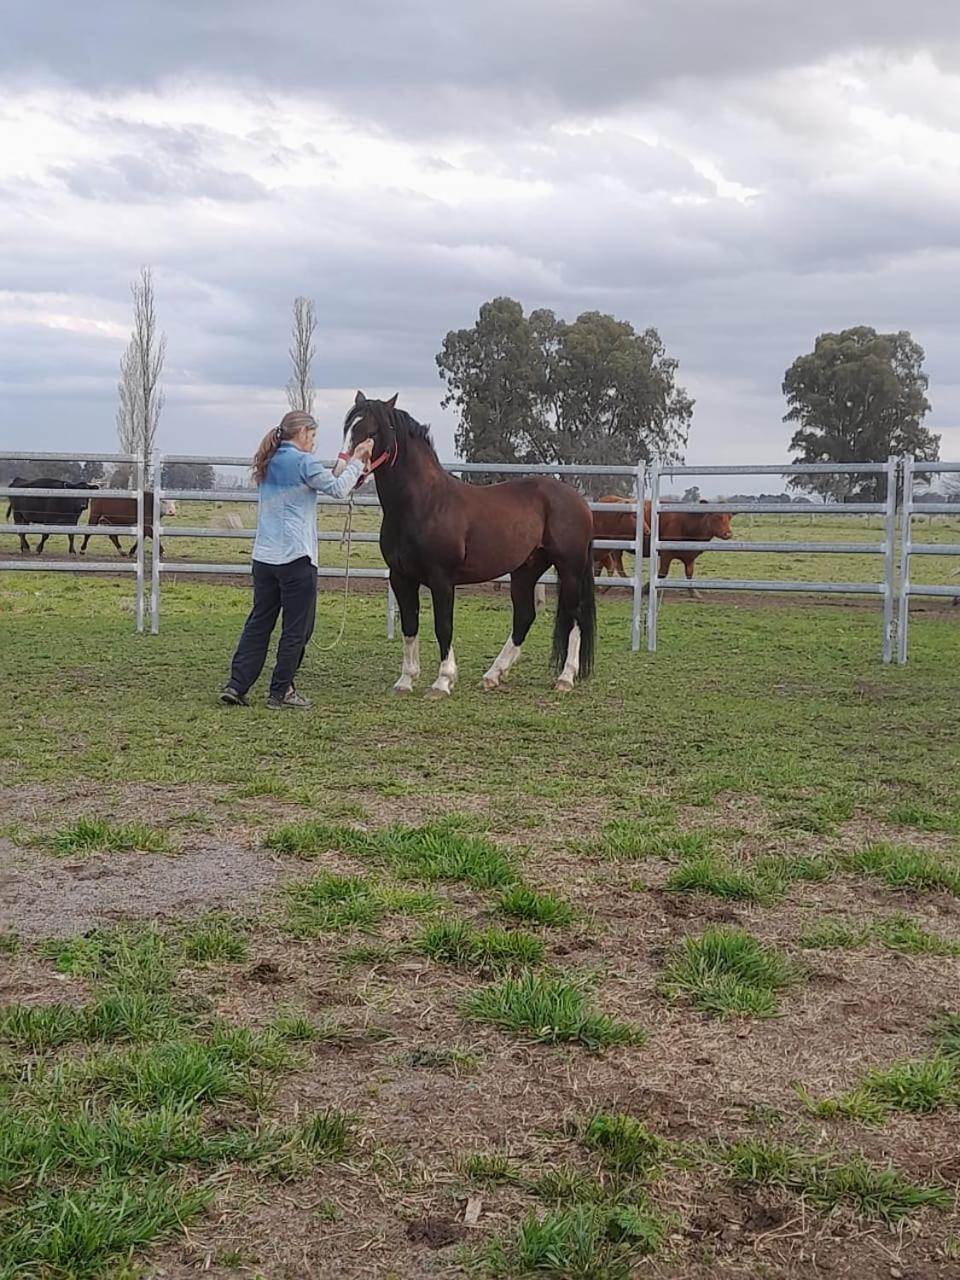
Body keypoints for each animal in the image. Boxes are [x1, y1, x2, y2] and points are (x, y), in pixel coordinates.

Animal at [337, 394, 593, 696]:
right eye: (348, 428)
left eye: (372, 432)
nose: (341, 471)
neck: (424, 503)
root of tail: (579, 500)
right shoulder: (401, 578)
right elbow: (410, 626)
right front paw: (406, 680)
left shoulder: (442, 579)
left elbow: (443, 627)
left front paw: (442, 682)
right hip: (526, 570)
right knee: (524, 617)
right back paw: (493, 675)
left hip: (570, 569)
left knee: (574, 617)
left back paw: (565, 678)